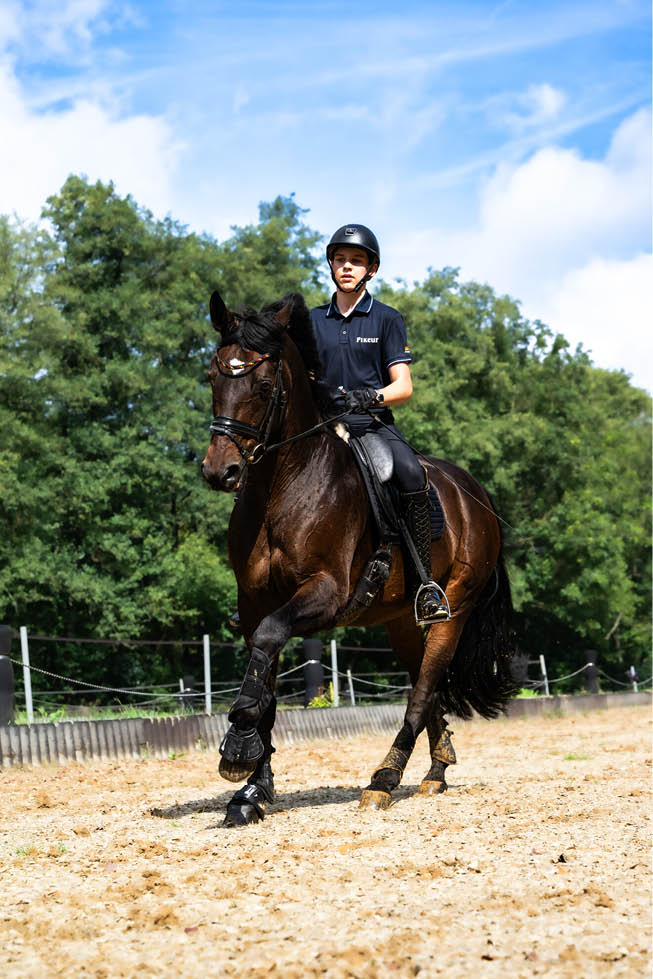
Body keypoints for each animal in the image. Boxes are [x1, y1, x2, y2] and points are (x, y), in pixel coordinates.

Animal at [201, 290, 516, 826]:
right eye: (213, 377)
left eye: (262, 384)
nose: (220, 471)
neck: (281, 486)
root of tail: (475, 494)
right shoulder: (254, 604)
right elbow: (264, 682)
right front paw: (251, 791)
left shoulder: (326, 592)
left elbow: (268, 649)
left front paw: (236, 748)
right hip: (403, 622)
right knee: (427, 684)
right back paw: (436, 771)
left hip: (453, 606)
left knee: (423, 690)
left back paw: (384, 779)